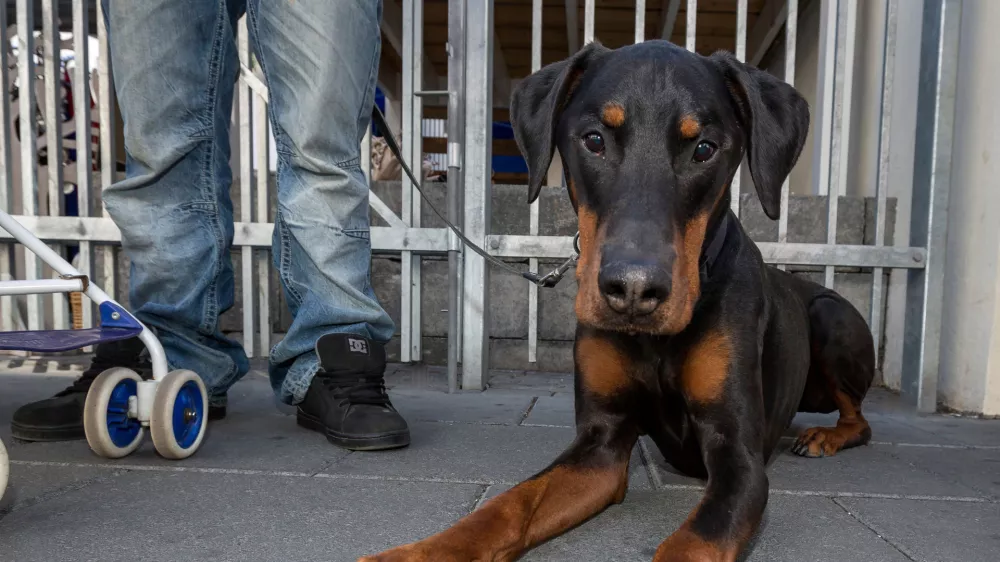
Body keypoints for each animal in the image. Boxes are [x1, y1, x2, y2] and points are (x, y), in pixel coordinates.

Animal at [362, 39, 876, 560]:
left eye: (704, 149)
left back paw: (823, 436)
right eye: (594, 140)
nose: (632, 290)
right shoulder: (601, 444)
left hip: (831, 317)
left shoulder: (739, 456)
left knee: (860, 417)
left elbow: (694, 541)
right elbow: (510, 503)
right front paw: (422, 552)